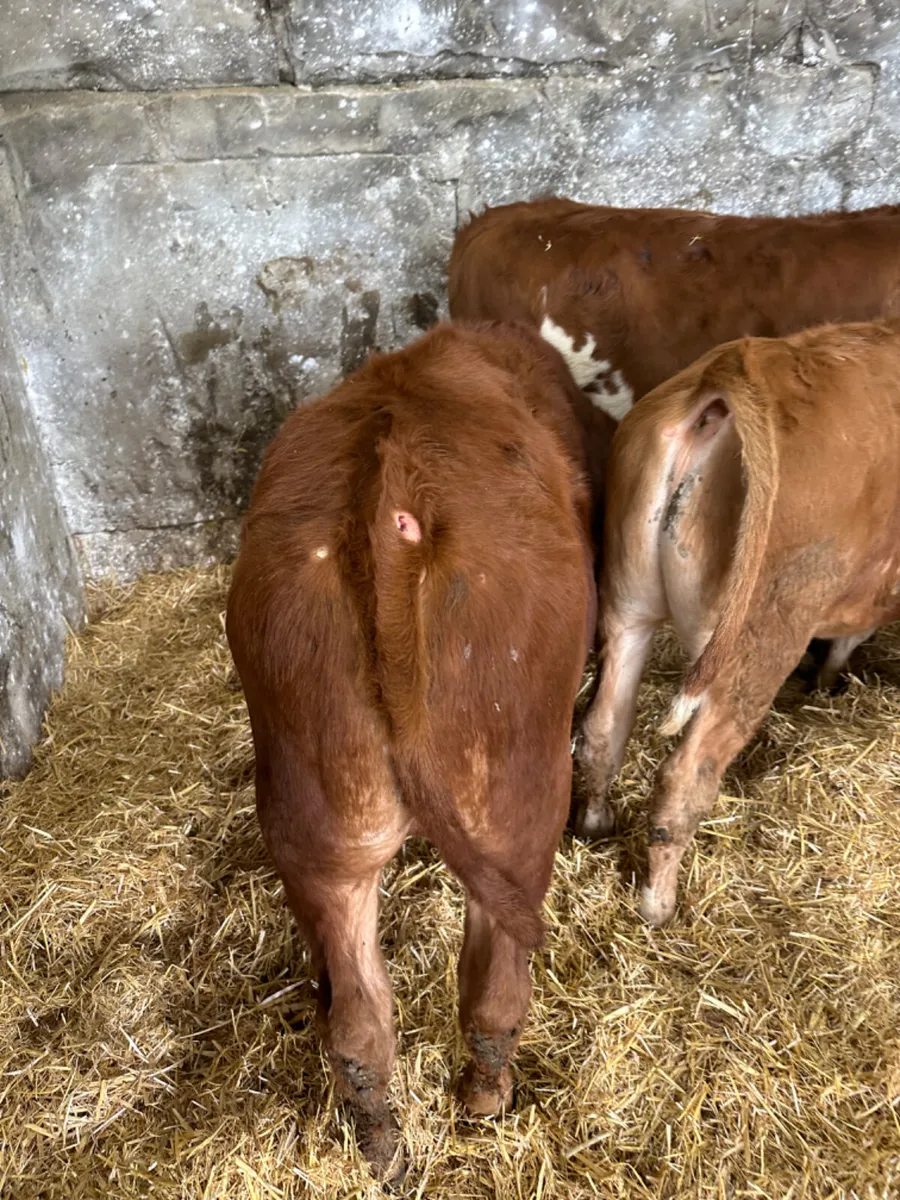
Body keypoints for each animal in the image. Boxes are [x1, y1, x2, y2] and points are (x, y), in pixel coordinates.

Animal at [226, 320, 597, 1176]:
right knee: (493, 989)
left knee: (360, 1022)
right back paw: (483, 1104)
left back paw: (382, 1145)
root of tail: (387, 514)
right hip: (516, 803)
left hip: (316, 824)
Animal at [575, 320, 900, 926]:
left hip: (626, 603)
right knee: (685, 777)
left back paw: (594, 826)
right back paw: (658, 905)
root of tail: (735, 373)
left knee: (603, 729)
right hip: (756, 643)